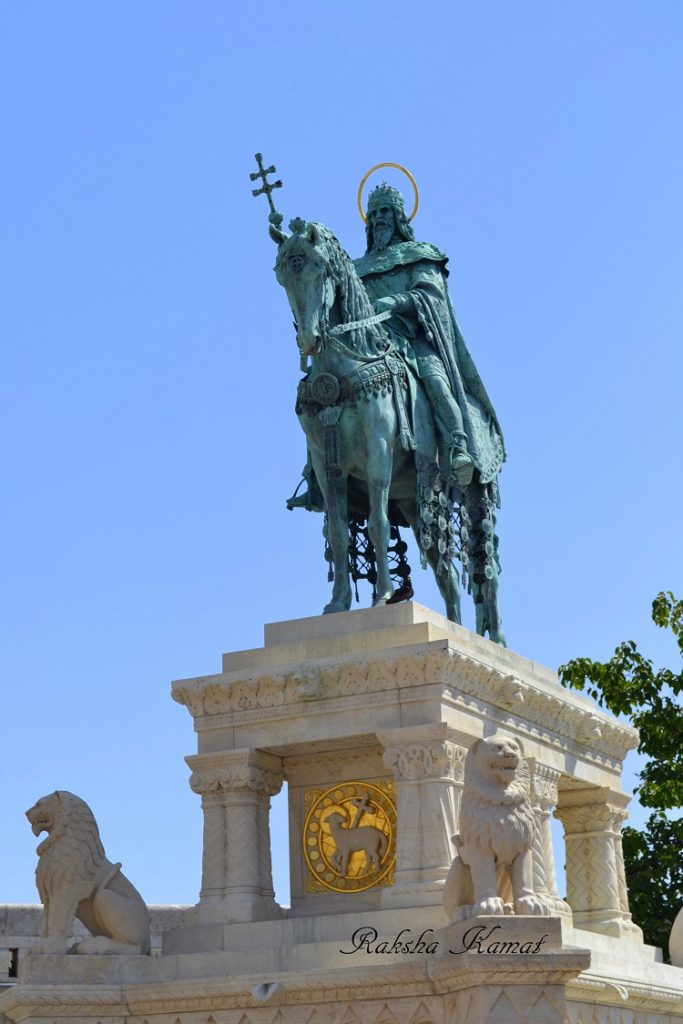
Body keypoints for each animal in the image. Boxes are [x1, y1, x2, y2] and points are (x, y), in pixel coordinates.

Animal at [270, 218, 505, 638]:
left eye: (318, 269)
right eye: (282, 275)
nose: (310, 340)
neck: (342, 369)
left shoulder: (378, 454)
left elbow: (379, 525)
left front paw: (382, 596)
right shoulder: (330, 468)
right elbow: (339, 533)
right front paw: (337, 605)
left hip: (475, 489)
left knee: (486, 574)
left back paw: (494, 639)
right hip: (413, 499)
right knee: (445, 573)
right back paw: (454, 626)